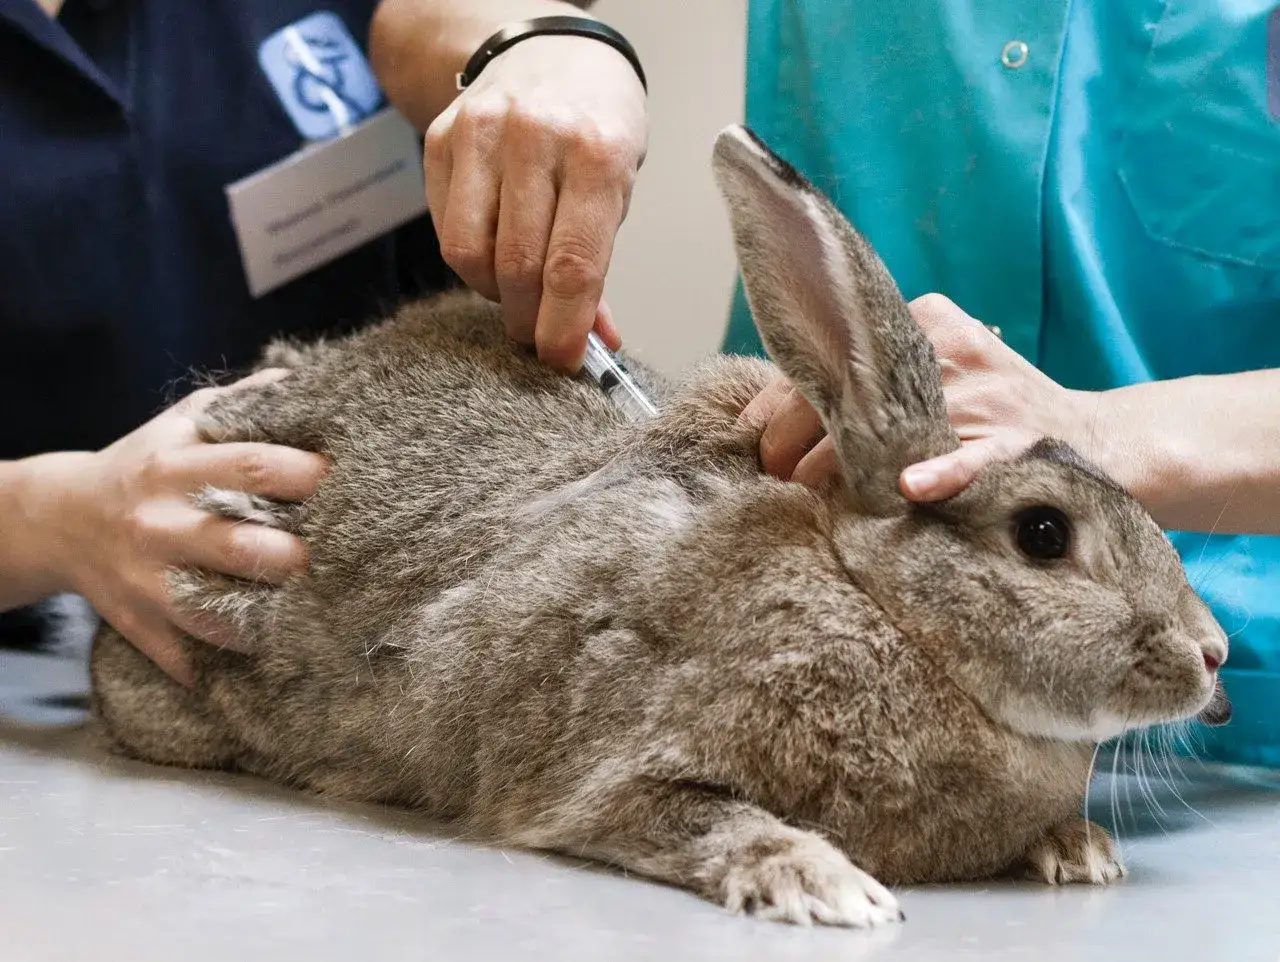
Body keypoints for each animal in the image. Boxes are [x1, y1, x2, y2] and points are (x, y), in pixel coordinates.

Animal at [88, 125, 1232, 929]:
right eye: (1042, 533)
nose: (1214, 653)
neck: (881, 607)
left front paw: (1077, 847)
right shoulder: (606, 773)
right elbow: (702, 819)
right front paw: (827, 885)